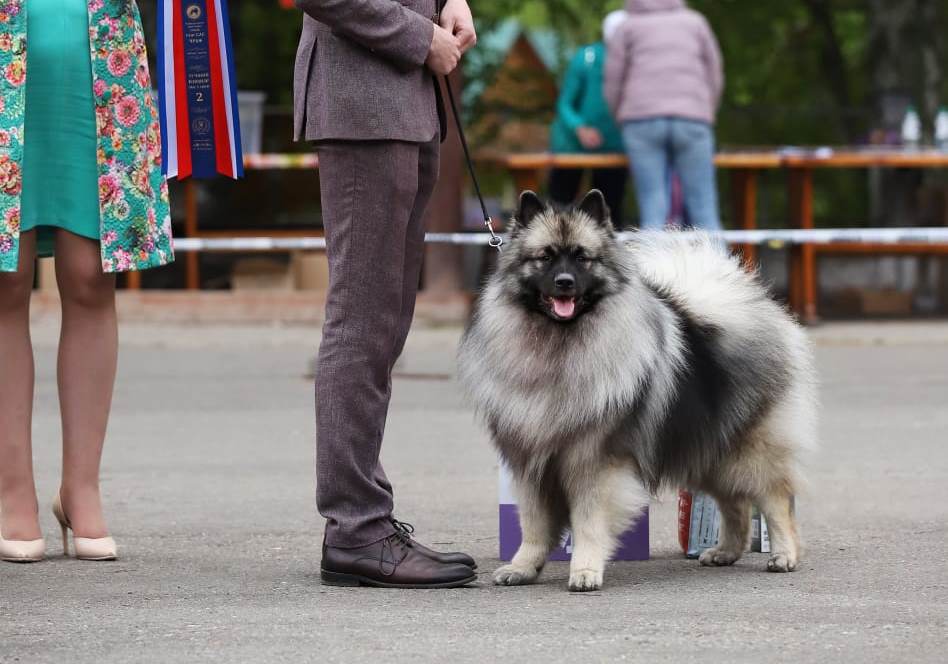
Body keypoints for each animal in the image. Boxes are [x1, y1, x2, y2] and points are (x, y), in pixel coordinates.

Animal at [458, 191, 816, 592]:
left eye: (582, 258)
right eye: (545, 257)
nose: (564, 282)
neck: (559, 346)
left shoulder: (593, 463)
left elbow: (588, 523)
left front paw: (585, 571)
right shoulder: (531, 463)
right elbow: (533, 526)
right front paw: (522, 567)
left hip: (748, 450)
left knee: (775, 498)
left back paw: (784, 555)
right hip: (706, 447)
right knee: (734, 503)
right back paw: (724, 552)